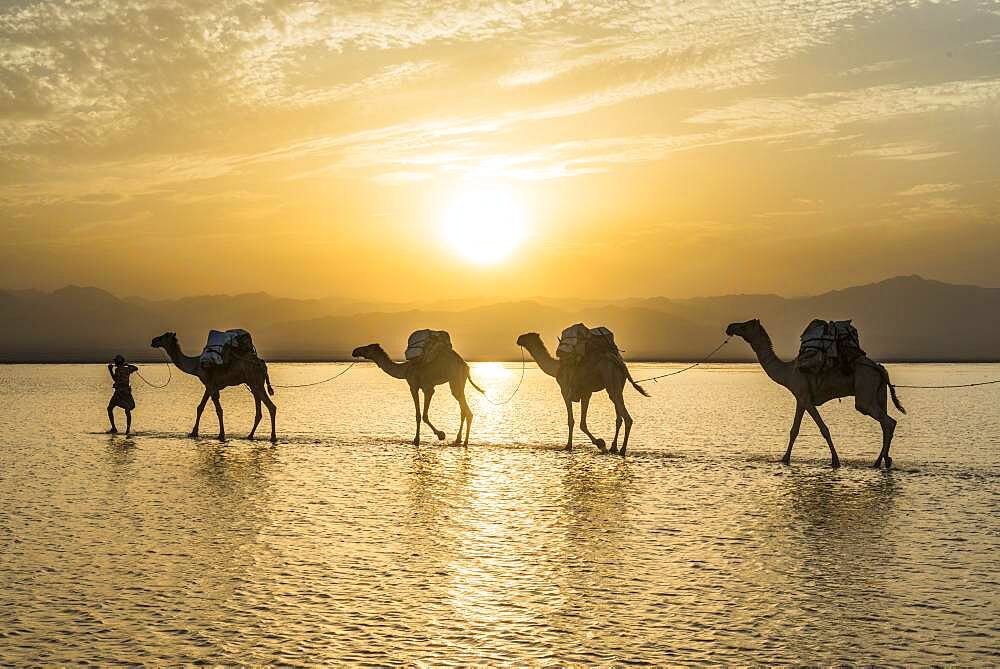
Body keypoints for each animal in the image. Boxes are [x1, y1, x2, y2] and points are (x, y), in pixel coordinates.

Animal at [148, 332, 276, 440]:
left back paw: (273, 437)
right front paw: (193, 433)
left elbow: (218, 410)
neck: (195, 366)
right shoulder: (208, 385)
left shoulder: (210, 384)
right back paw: (250, 435)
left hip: (256, 383)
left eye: (164, 336)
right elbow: (200, 407)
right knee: (259, 412)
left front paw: (221, 435)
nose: (153, 341)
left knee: (271, 407)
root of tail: (262, 364)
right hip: (254, 383)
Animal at [352, 342, 484, 446]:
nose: (355, 351)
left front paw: (436, 436)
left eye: (368, 348)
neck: (405, 369)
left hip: (455, 379)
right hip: (458, 382)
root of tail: (465, 365)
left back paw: (465, 442)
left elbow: (422, 415)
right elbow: (419, 415)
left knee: (467, 411)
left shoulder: (421, 387)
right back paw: (458, 439)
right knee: (463, 410)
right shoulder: (420, 387)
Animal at [516, 332, 648, 454]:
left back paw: (622, 449)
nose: (518, 339)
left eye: (527, 336)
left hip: (611, 379)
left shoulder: (565, 390)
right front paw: (601, 443)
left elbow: (572, 421)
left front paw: (570, 446)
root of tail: (619, 362)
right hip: (617, 386)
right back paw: (613, 447)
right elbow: (582, 423)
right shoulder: (586, 393)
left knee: (627, 418)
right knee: (619, 415)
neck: (556, 368)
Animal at [724, 320, 904, 468]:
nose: (730, 327)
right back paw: (883, 460)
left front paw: (835, 461)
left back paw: (880, 462)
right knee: (885, 423)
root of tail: (879, 368)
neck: (787, 373)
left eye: (745, 325)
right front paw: (785, 459)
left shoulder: (804, 397)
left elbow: (823, 429)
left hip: (865, 391)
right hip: (879, 392)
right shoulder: (801, 399)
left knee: (888, 422)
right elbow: (794, 430)